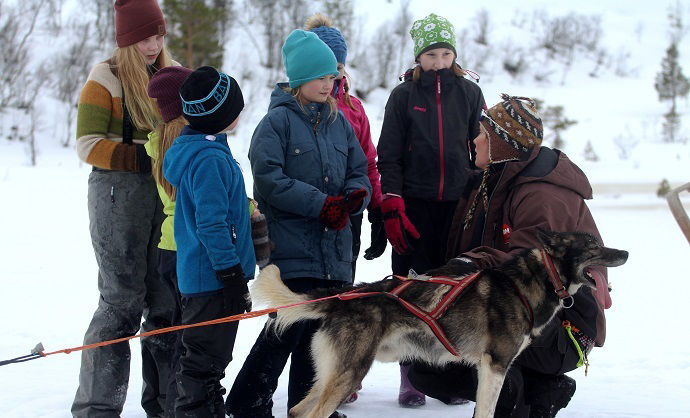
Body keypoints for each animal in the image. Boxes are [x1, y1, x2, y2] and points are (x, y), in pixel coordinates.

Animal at [250, 230, 628, 416]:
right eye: (594, 246)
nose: (625, 253)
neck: (530, 281)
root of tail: (341, 298)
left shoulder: (488, 368)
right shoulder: (495, 366)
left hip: (333, 373)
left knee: (298, 411)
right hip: (349, 373)